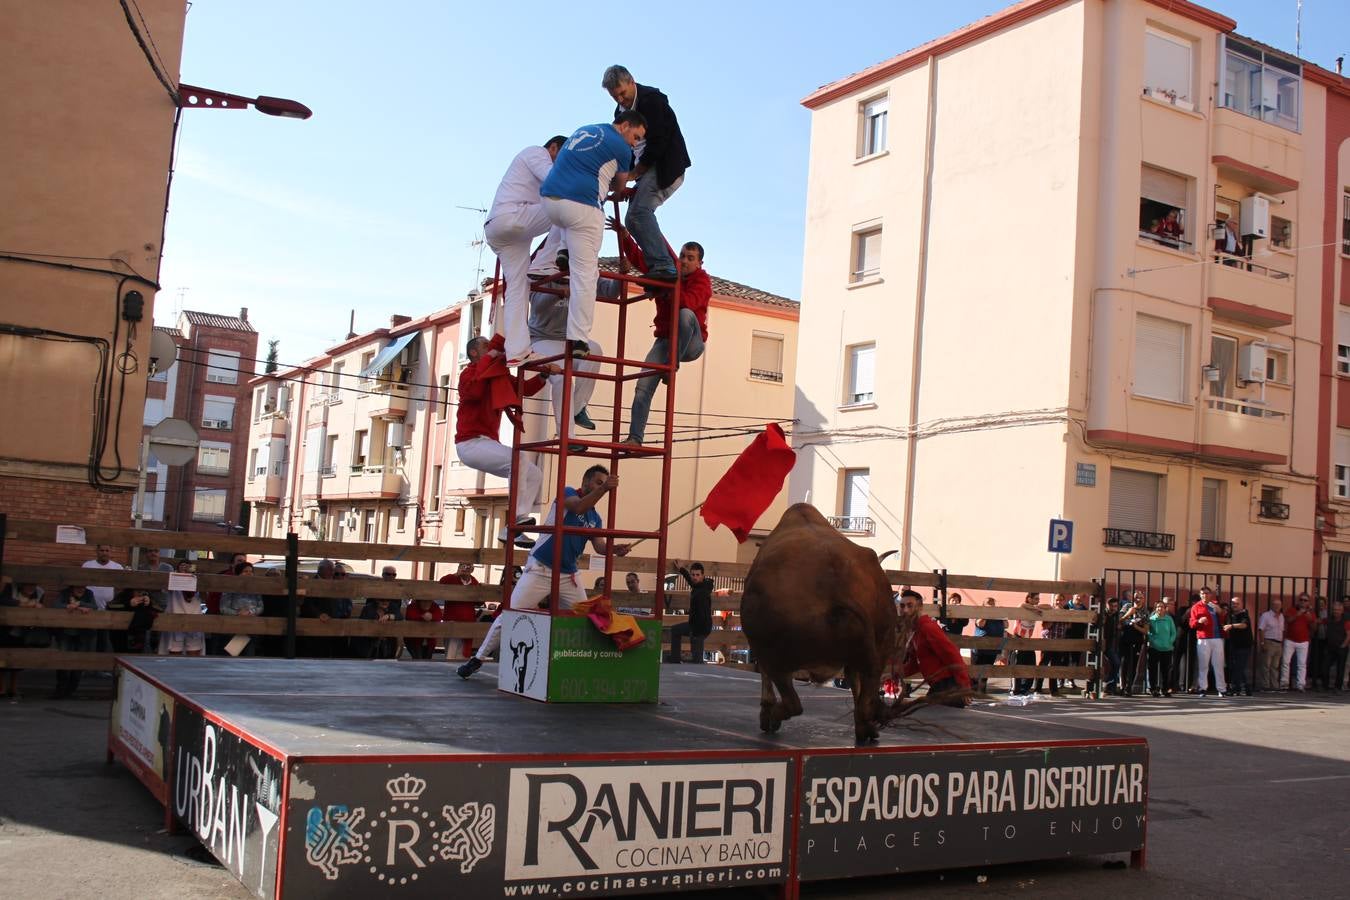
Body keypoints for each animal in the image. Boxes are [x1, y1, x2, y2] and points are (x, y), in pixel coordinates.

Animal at [739, 504, 896, 744]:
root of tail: (837, 586)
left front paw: (767, 710)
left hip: (776, 655)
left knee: (792, 701)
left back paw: (771, 716)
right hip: (879, 646)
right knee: (865, 694)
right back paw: (866, 728)